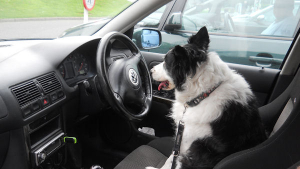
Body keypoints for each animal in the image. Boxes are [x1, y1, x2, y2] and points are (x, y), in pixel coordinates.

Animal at [149, 27, 266, 169]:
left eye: (166, 62)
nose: (150, 70)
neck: (204, 93)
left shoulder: (187, 143)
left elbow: (173, 159)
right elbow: (171, 157)